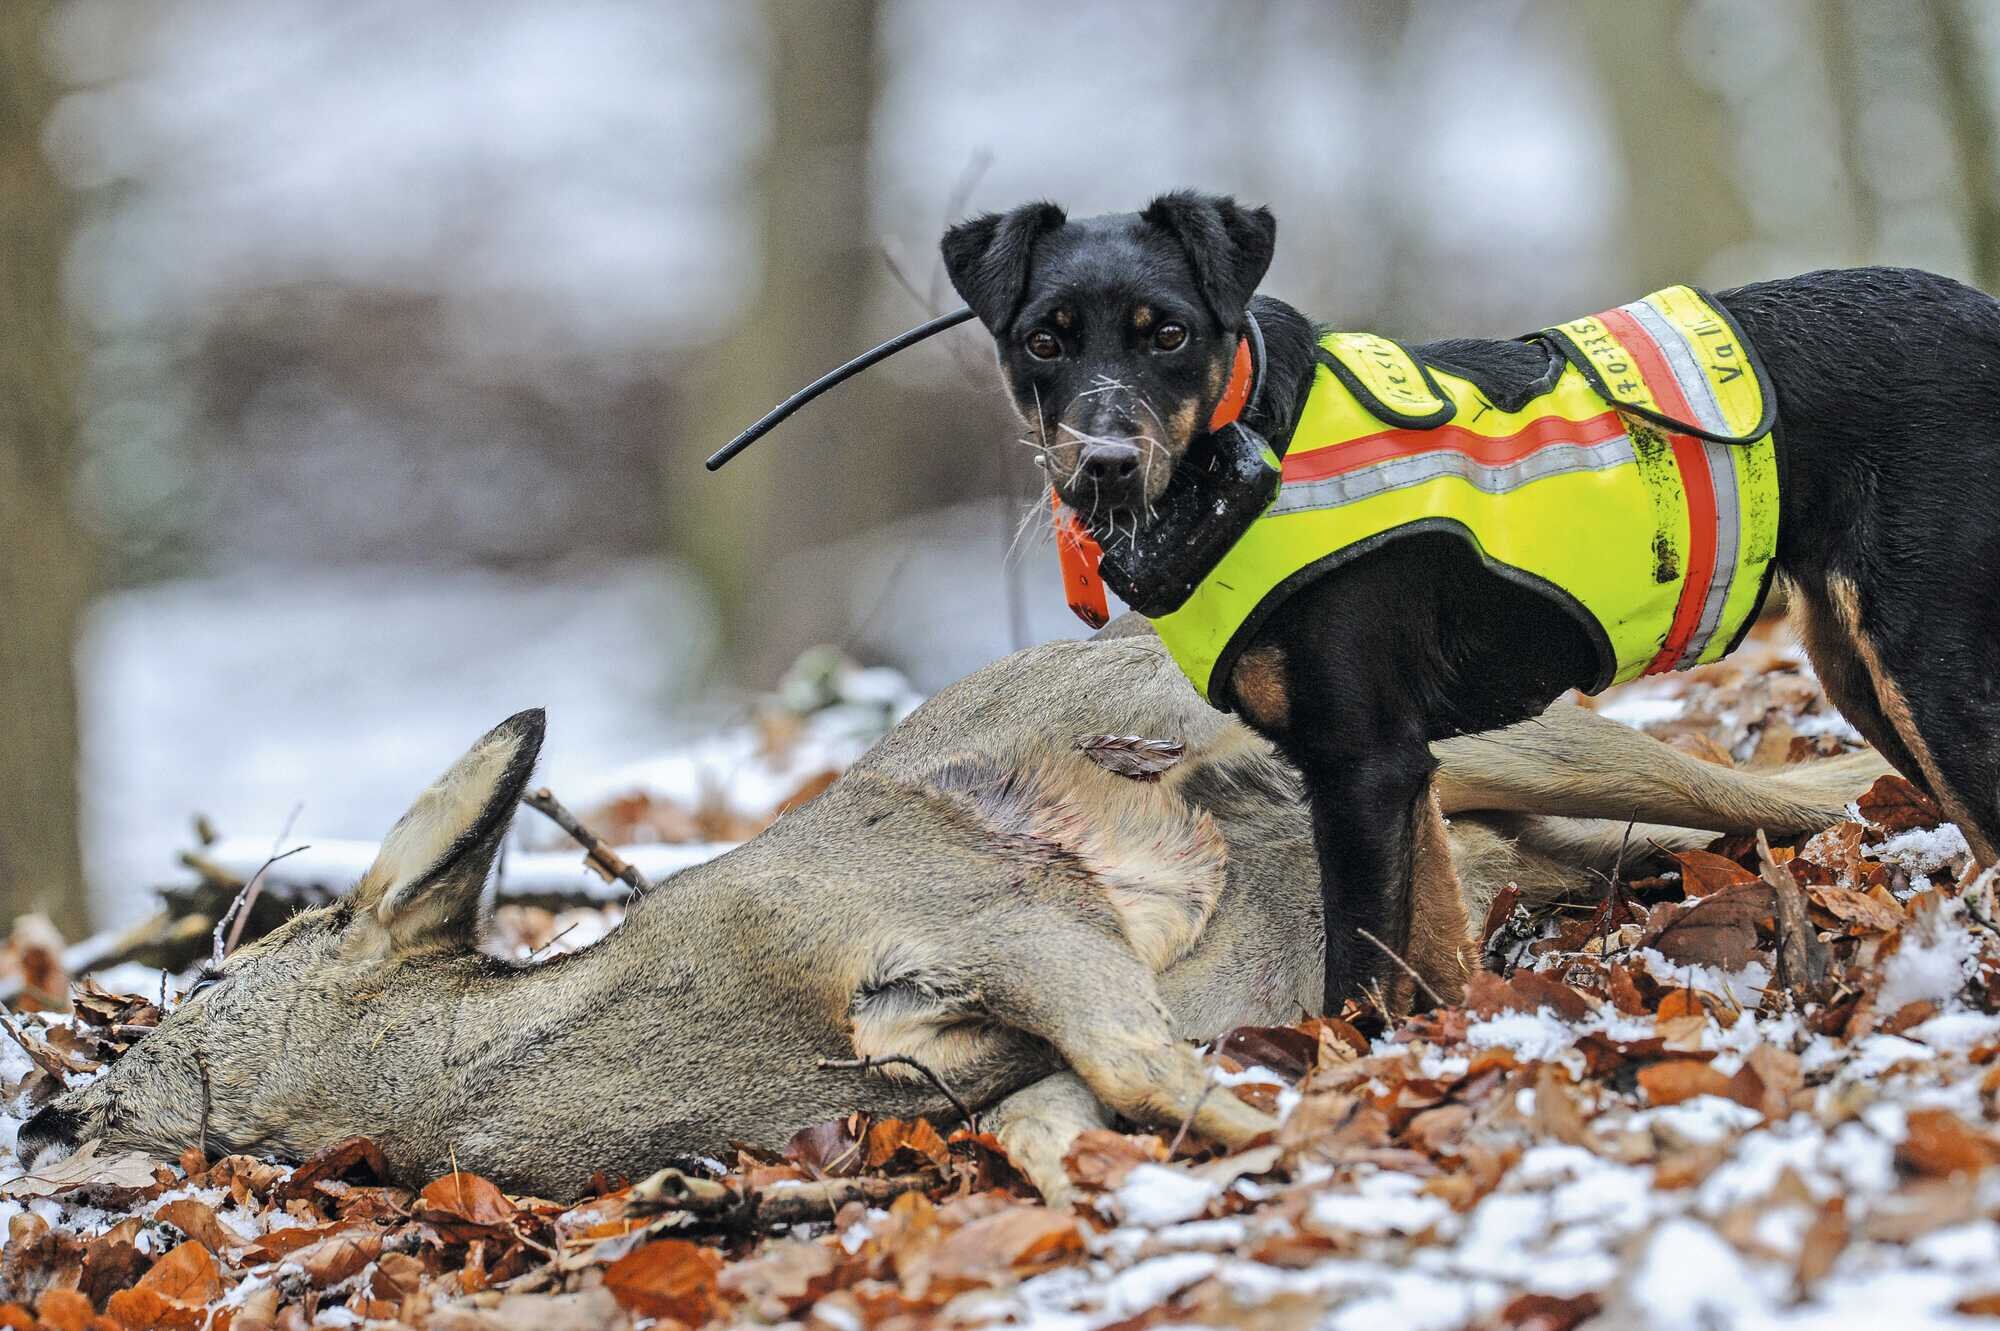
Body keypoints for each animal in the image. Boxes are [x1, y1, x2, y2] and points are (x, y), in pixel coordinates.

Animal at [944, 188, 2000, 1007]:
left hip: (1928, 662)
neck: (1243, 452)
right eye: (1043, 342)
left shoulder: (1362, 763)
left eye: (1168, 332)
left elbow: (1358, 970)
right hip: (1857, 667)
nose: (1106, 465)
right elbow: (1433, 948)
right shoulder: (1400, 770)